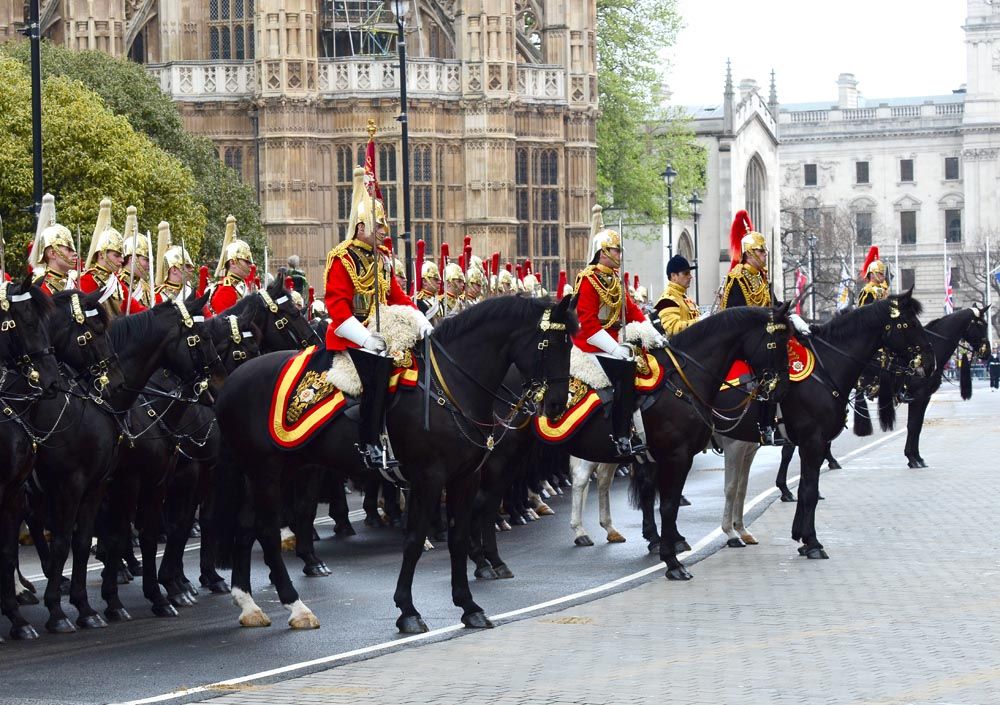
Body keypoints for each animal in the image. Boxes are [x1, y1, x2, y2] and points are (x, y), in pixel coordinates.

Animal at [215, 296, 576, 632]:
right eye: (551, 344)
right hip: (267, 472)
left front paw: (469, 606)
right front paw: (408, 610)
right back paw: (296, 606)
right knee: (266, 531)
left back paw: (248, 605)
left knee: (245, 527)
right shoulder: (429, 478)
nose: (558, 405)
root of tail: (232, 381)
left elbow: (458, 538)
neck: (451, 386)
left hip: (273, 469)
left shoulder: (465, 478)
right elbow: (414, 540)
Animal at [712, 292, 936, 556]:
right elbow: (809, 490)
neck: (826, 368)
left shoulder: (808, 443)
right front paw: (813, 543)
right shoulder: (812, 441)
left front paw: (802, 537)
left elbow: (805, 487)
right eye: (909, 324)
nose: (930, 363)